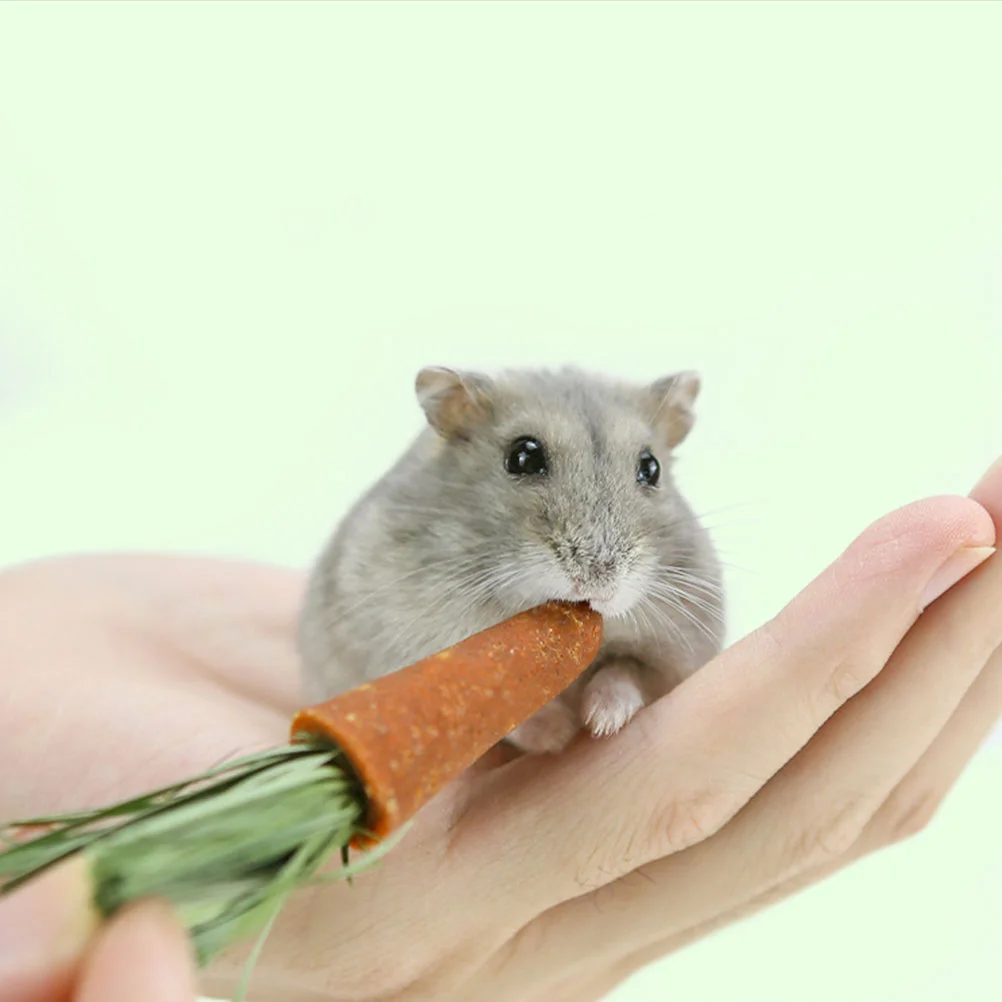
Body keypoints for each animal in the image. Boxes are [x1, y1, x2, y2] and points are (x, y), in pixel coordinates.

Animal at [297, 365, 725, 754]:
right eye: (523, 457)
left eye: (651, 468)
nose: (598, 582)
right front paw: (558, 734)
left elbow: (626, 673)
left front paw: (601, 722)